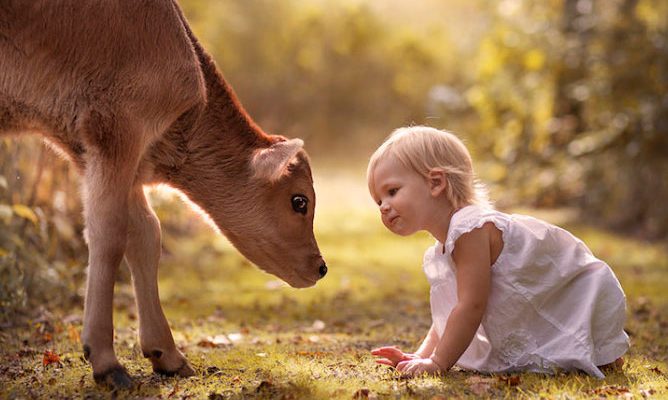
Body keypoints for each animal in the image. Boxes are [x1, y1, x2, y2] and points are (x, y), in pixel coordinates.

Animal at [0, 0, 326, 388]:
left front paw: (167, 355)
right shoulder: (117, 129)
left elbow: (146, 233)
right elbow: (110, 233)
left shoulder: (99, 154)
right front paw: (107, 362)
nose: (321, 267)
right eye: (299, 201)